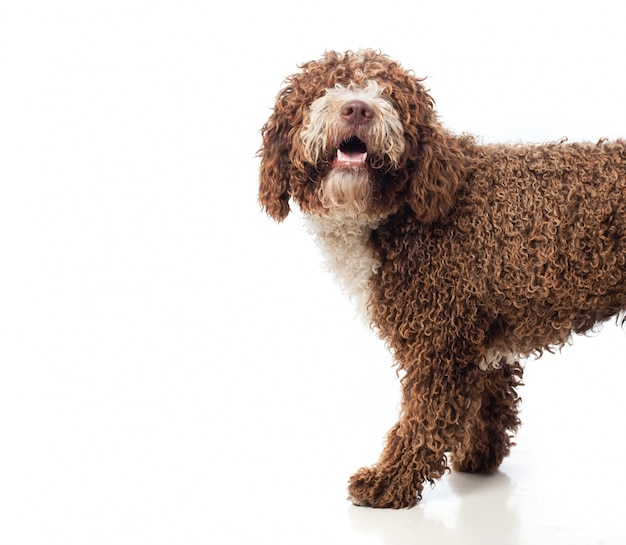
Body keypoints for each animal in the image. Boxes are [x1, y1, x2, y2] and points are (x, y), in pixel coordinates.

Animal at [255, 49, 624, 508]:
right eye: (323, 88)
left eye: (389, 94)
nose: (357, 108)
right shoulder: (483, 335)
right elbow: (492, 400)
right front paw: (478, 458)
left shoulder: (440, 339)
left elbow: (423, 420)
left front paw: (388, 481)